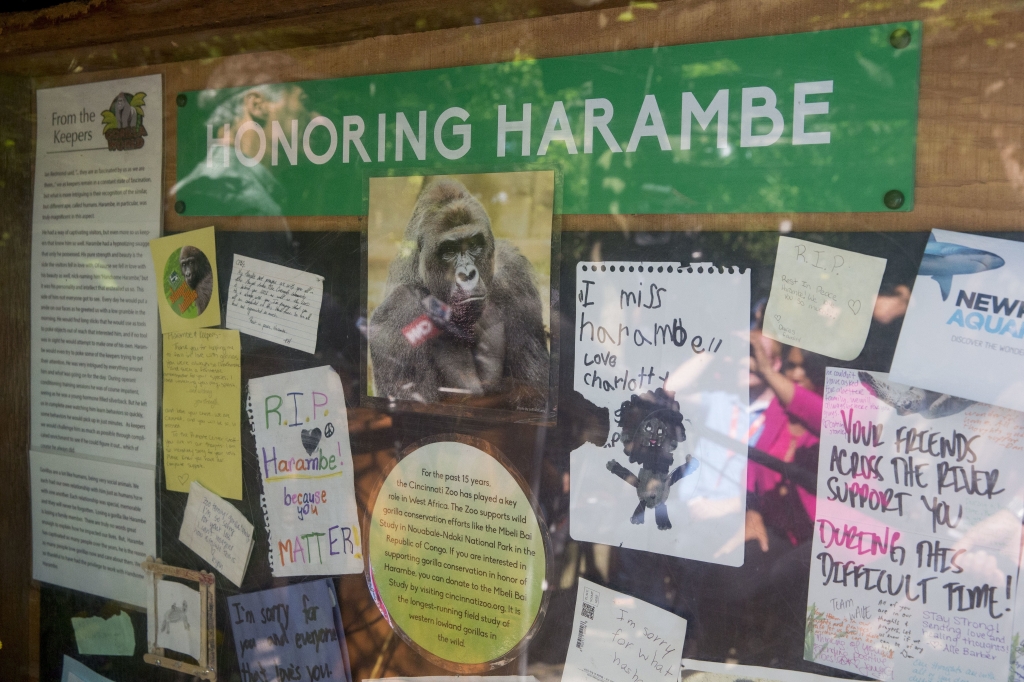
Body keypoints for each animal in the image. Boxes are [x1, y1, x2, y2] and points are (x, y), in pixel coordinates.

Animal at [370, 176, 552, 409]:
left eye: (473, 245)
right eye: (449, 250)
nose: (467, 274)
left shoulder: (514, 273)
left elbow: (536, 394)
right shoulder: (400, 311)